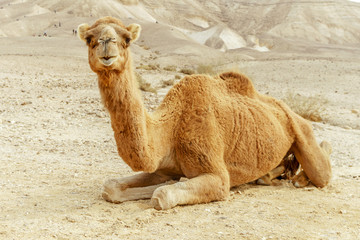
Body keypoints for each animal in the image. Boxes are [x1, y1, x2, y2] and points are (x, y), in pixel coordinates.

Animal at [78, 16, 332, 210]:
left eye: (127, 39)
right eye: (89, 39)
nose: (106, 43)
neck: (171, 129)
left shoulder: (217, 176)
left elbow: (162, 195)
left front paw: (171, 184)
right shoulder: (162, 168)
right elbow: (111, 187)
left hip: (301, 130)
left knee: (322, 171)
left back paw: (303, 175)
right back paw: (271, 175)